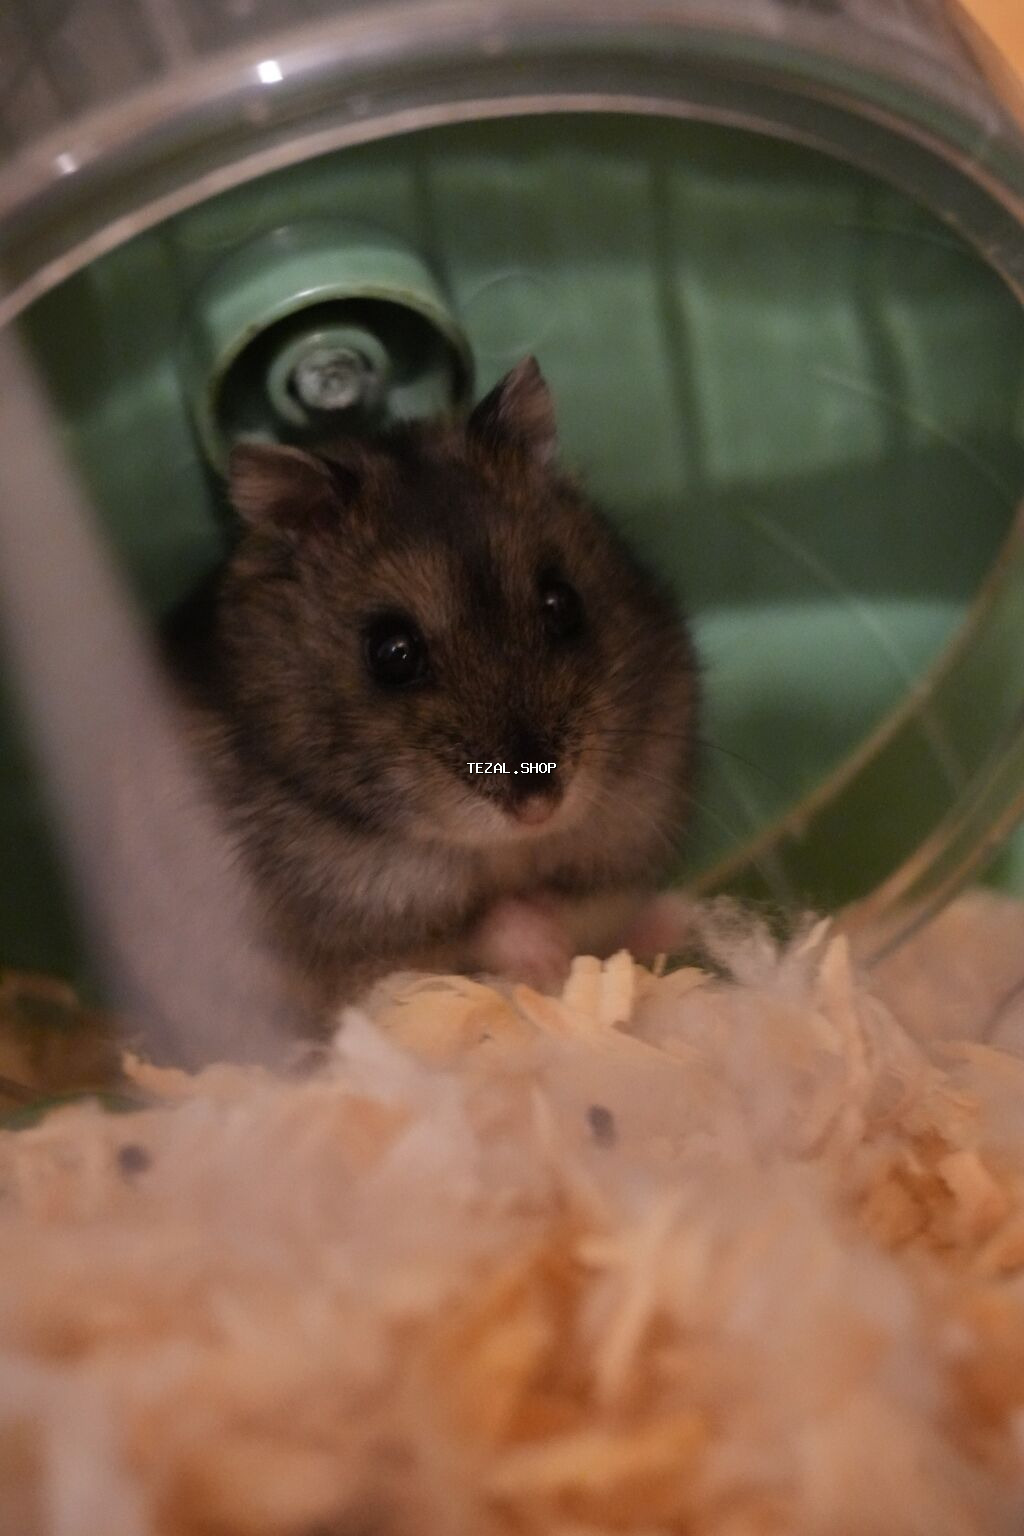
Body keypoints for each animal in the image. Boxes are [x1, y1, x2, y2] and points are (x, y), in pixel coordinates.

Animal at [166, 358, 699, 1028]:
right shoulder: (367, 933)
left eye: (563, 603)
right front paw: (546, 956)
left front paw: (662, 923)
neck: (500, 852)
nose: (538, 808)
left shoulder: (620, 842)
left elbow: (583, 901)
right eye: (391, 652)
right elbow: (479, 926)